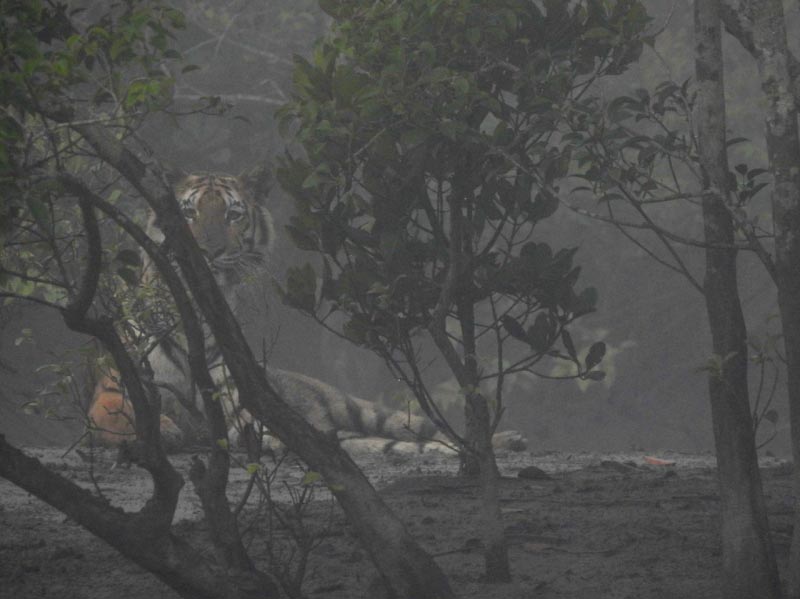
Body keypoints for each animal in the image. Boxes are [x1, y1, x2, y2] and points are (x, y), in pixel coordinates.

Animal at [86, 171, 507, 456]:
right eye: (188, 212)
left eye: (233, 215)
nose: (208, 251)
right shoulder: (113, 390)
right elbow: (119, 414)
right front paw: (167, 430)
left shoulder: (235, 399)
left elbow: (250, 421)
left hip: (361, 409)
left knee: (428, 433)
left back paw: (502, 442)